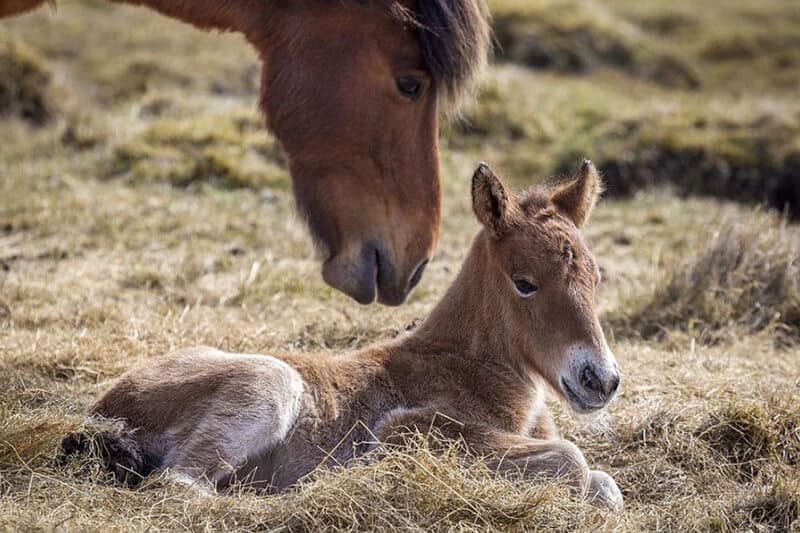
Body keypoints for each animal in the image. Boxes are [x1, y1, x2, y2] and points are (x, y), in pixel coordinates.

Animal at [62, 161, 624, 508]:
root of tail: (102, 411)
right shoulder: (409, 431)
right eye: (524, 282)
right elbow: (574, 462)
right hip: (271, 381)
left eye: (597, 278)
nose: (600, 380)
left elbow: (605, 485)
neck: (466, 366)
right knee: (179, 483)